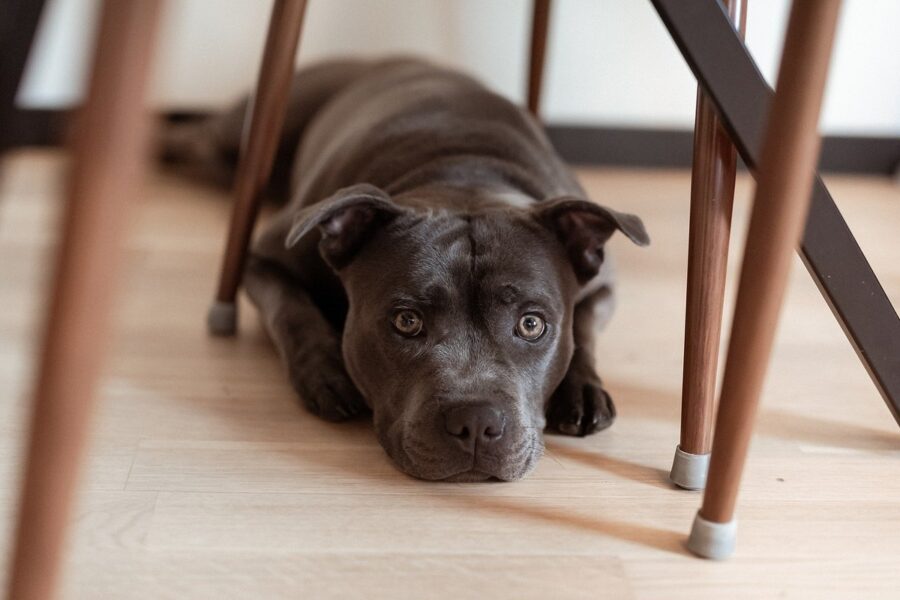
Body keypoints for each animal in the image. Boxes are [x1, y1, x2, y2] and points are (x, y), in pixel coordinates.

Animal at [163, 58, 648, 482]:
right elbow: (291, 312)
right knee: (196, 140)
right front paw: (325, 372)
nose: (476, 422)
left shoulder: (604, 286)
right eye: (407, 321)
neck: (464, 176)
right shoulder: (263, 258)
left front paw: (582, 389)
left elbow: (582, 326)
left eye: (532, 325)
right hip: (256, 126)